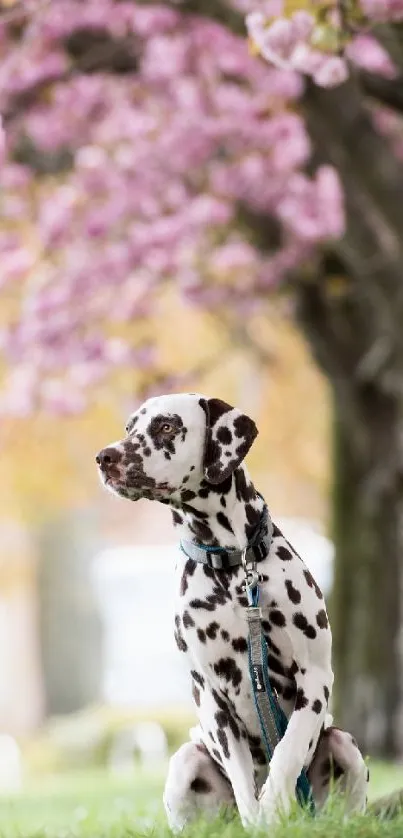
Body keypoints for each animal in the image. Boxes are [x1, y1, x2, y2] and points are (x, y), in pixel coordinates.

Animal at [97, 398, 370, 832]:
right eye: (129, 427)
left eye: (167, 426)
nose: (105, 457)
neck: (231, 564)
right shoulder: (211, 697)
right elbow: (243, 783)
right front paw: (259, 820)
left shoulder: (315, 678)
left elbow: (288, 752)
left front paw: (274, 805)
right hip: (185, 761)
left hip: (345, 746)